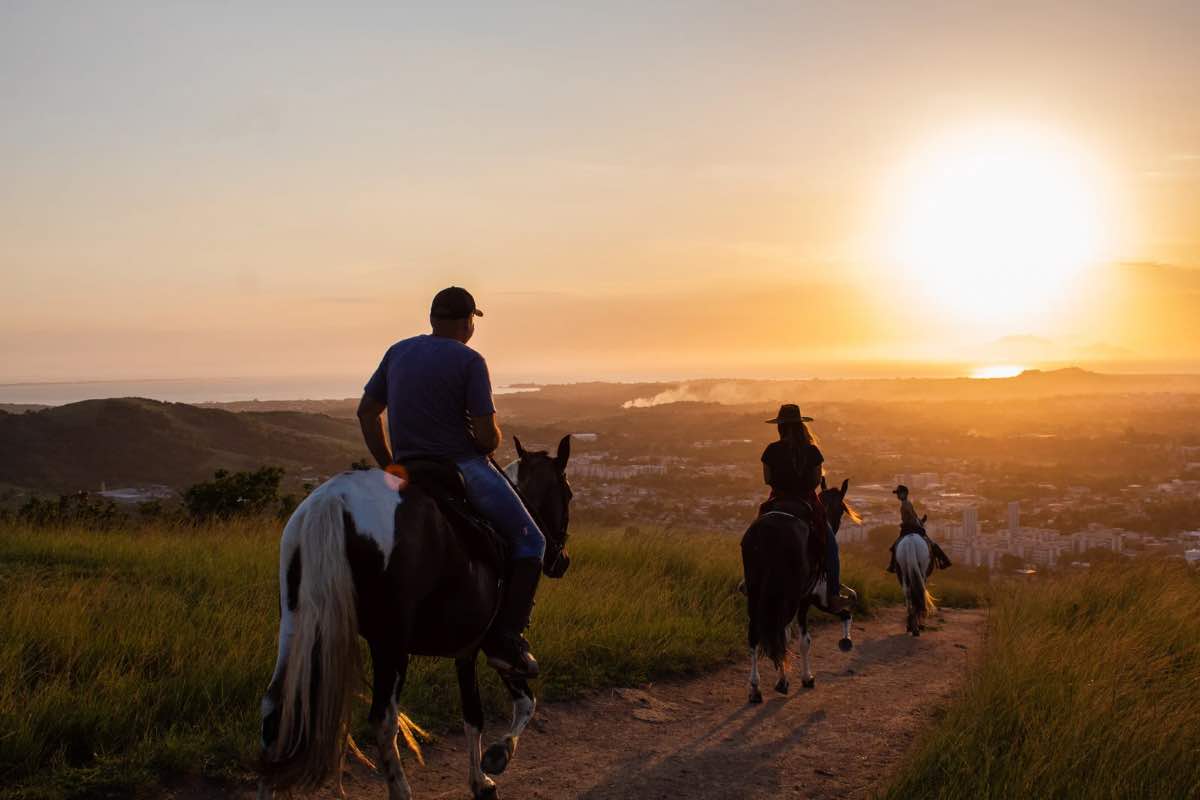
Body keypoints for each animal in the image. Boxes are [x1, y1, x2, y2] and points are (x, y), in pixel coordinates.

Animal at [256, 438, 571, 800]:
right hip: (390, 642)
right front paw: (497, 757)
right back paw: (401, 789)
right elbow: (524, 702)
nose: (562, 560)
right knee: (383, 719)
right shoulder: (491, 645)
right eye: (568, 493)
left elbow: (473, 715)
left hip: (295, 624)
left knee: (273, 711)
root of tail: (333, 500)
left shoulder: (465, 650)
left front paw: (480, 780)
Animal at [739, 479, 864, 705]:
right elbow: (804, 640)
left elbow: (788, 635)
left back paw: (755, 689)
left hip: (756, 592)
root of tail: (770, 532)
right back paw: (775, 684)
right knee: (777, 631)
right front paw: (805, 678)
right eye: (842, 509)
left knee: (755, 635)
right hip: (789, 595)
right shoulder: (807, 599)